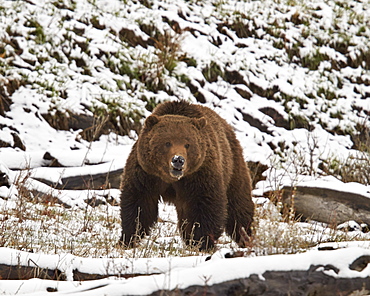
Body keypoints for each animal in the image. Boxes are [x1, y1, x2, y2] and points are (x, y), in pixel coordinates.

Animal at [121, 100, 254, 250]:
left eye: (187, 144)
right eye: (167, 142)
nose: (178, 160)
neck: (171, 179)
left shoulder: (199, 175)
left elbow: (205, 206)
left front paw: (202, 242)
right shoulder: (146, 174)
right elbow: (139, 204)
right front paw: (127, 239)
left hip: (232, 165)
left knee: (238, 204)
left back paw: (245, 236)